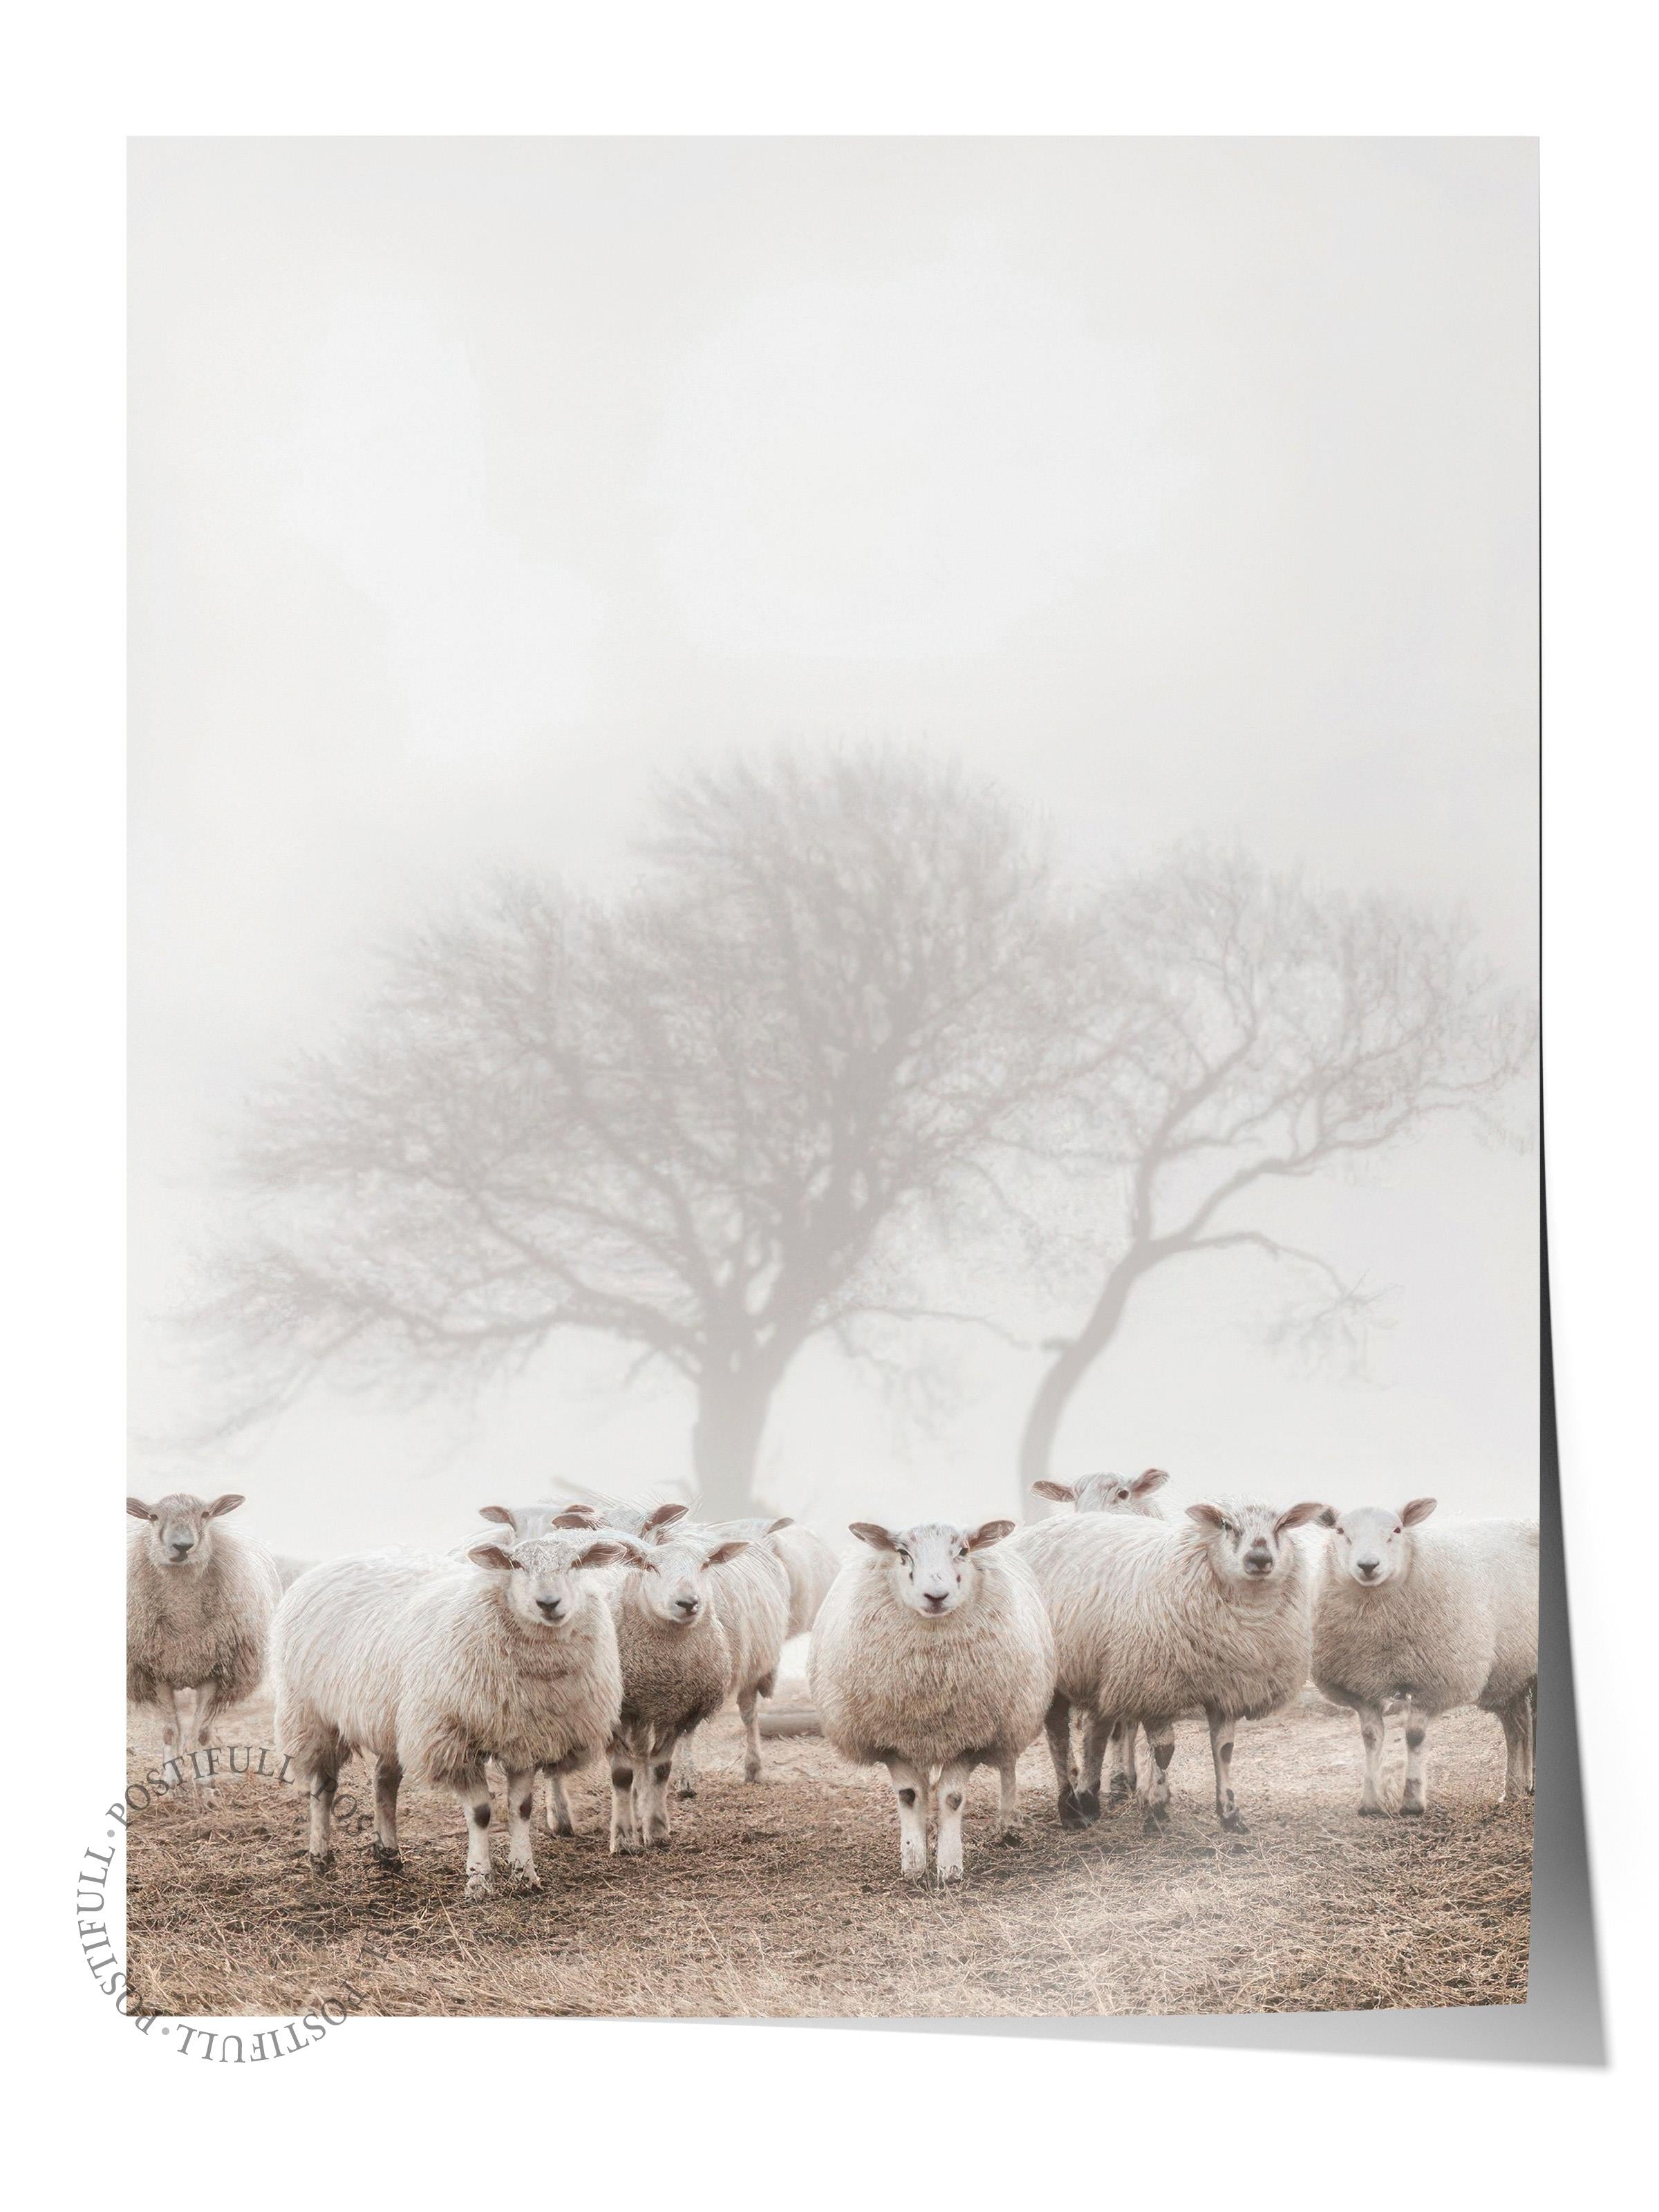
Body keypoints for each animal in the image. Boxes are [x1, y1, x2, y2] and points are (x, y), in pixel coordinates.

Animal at [127, 1491, 282, 1791]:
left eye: (205, 1514)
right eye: (153, 1516)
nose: (182, 1546)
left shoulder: (213, 1674)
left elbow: (199, 1733)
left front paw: (204, 1782)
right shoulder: (158, 1674)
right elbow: (170, 1731)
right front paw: (170, 1782)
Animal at [272, 1530, 631, 1893]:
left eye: (576, 1564)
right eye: (516, 1565)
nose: (548, 1603)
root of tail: (336, 1562)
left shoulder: (526, 1737)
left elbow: (521, 1810)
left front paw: (525, 1874)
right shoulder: (454, 1740)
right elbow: (481, 1814)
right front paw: (479, 1880)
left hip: (395, 1720)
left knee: (384, 1781)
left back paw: (389, 1855)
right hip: (313, 1714)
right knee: (325, 1784)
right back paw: (320, 1855)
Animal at [808, 1519, 1056, 1884]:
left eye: (964, 1551)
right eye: (902, 1553)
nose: (936, 1596)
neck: (931, 1679)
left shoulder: (971, 1737)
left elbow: (951, 1797)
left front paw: (949, 1868)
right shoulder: (891, 1739)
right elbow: (910, 1796)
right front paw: (913, 1863)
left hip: (1011, 1717)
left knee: (1007, 1765)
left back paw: (1009, 1823)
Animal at [1011, 1496, 1328, 1832]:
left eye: (1282, 1525)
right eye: (1226, 1525)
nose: (1259, 1559)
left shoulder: (1227, 1688)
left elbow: (1224, 1751)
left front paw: (1229, 1813)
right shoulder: (1154, 1685)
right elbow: (1164, 1750)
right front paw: (1157, 1808)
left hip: (1102, 1666)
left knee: (1097, 1730)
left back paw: (1088, 1797)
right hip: (1055, 1673)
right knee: (1059, 1735)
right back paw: (1070, 1806)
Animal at [1311, 1500, 1539, 1816]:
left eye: (1397, 1530)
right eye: (1340, 1530)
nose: (1368, 1566)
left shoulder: (1434, 1682)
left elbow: (1415, 1735)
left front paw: (1412, 1801)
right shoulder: (1361, 1688)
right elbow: (1371, 1737)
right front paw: (1370, 1803)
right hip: (1509, 1671)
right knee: (1517, 1727)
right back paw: (1515, 1790)